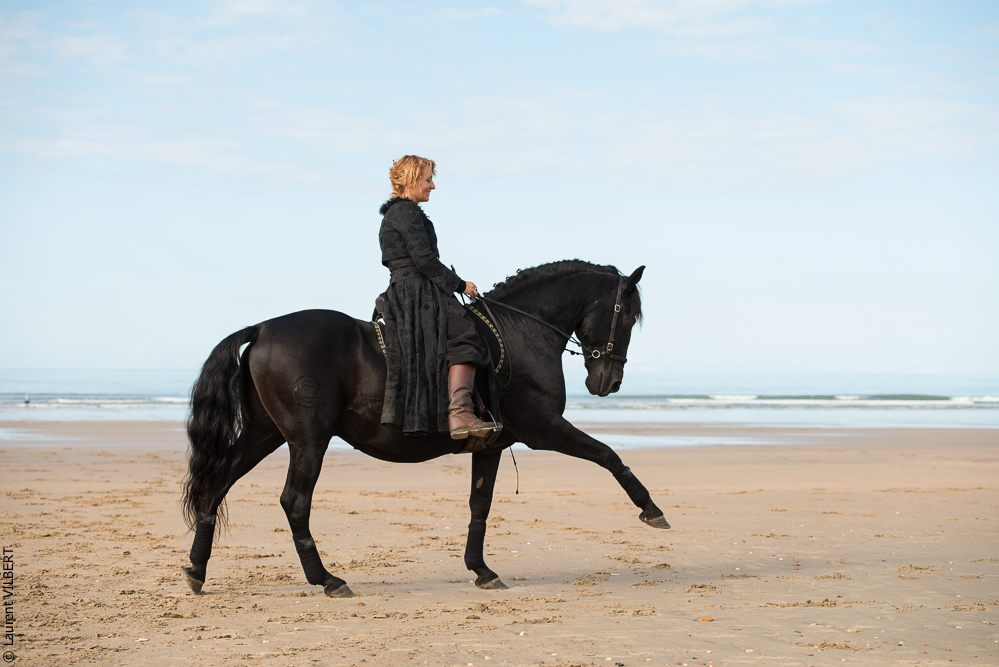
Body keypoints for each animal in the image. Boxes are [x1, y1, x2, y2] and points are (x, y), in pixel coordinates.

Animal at [180, 260, 670, 598]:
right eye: (627, 317)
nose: (608, 383)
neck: (519, 331)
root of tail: (262, 329)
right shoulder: (544, 428)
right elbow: (608, 455)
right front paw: (650, 509)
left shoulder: (491, 445)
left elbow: (480, 505)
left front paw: (482, 571)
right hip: (307, 440)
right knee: (294, 502)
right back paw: (327, 579)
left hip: (265, 435)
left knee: (217, 486)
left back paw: (196, 571)